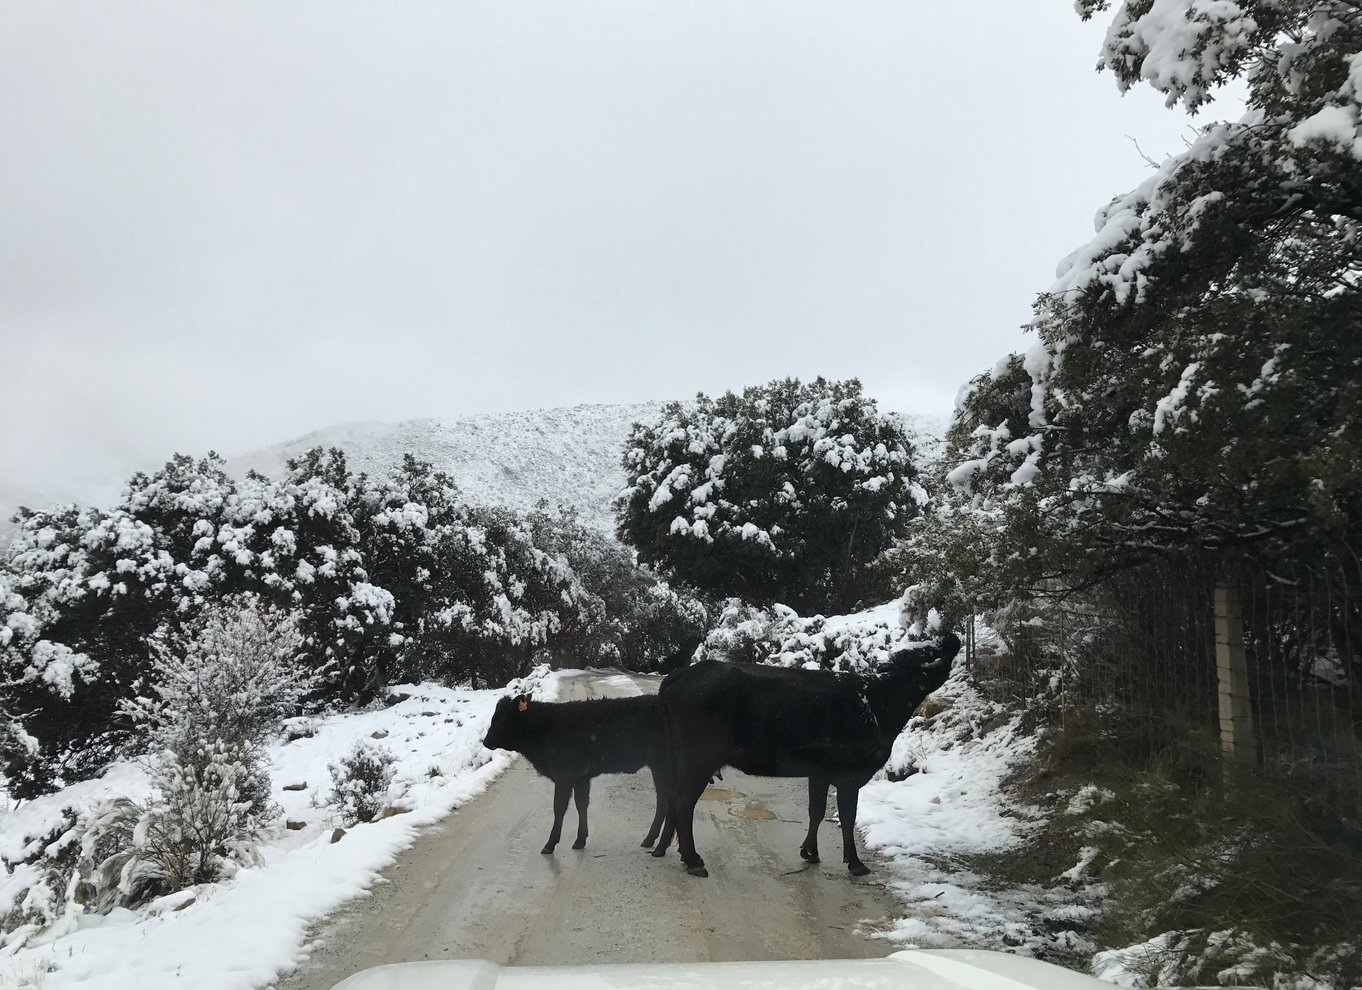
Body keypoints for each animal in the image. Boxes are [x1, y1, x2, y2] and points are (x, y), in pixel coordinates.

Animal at [479, 694, 670, 855]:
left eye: (499, 719)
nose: (486, 741)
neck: (545, 727)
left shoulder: (564, 777)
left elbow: (559, 807)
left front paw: (550, 844)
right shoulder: (581, 778)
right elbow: (581, 804)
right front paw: (580, 840)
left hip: (662, 766)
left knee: (666, 801)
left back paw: (656, 844)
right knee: (662, 801)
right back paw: (649, 839)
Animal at [656, 634, 958, 876]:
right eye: (929, 652)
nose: (951, 636)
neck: (877, 702)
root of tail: (681, 674)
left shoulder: (820, 773)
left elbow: (817, 811)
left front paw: (810, 852)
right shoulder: (849, 775)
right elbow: (847, 817)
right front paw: (855, 863)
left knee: (673, 797)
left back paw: (669, 850)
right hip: (701, 758)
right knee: (683, 801)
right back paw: (692, 860)